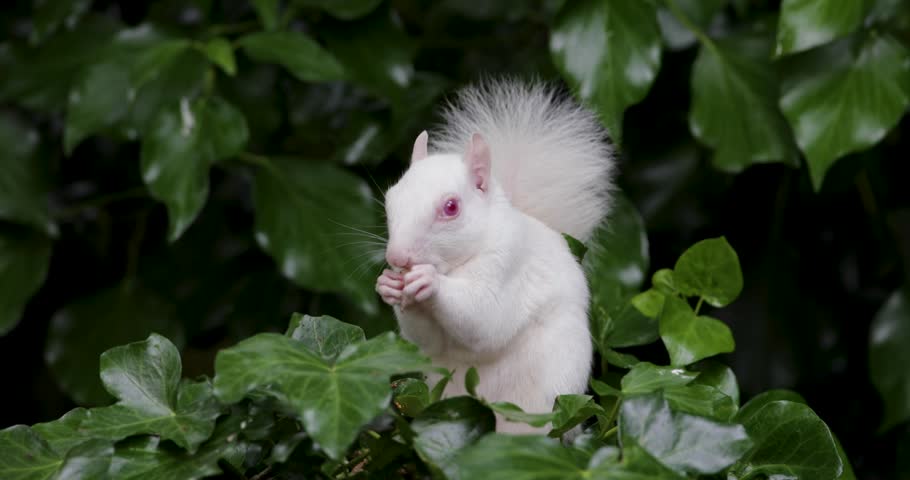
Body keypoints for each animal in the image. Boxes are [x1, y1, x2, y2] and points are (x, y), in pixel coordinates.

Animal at [375, 78, 615, 433]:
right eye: (391, 198)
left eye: (451, 207)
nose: (398, 257)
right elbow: (427, 340)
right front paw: (388, 285)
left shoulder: (508, 266)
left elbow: (483, 317)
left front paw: (430, 282)